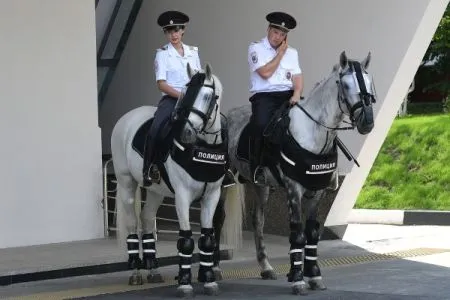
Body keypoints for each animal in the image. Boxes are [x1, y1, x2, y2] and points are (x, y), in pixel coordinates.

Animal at [110, 63, 243, 298]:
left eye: (208, 96)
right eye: (186, 92)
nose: (187, 132)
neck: (203, 145)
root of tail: (127, 118)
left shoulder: (213, 195)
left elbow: (207, 237)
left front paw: (208, 279)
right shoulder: (182, 196)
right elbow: (187, 240)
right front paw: (185, 283)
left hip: (155, 191)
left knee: (147, 218)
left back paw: (153, 269)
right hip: (126, 184)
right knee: (132, 223)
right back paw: (135, 271)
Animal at [221, 52, 376, 296]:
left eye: (369, 83)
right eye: (346, 84)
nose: (367, 122)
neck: (313, 133)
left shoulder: (317, 192)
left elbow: (312, 234)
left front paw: (314, 276)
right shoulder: (294, 190)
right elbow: (297, 233)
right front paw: (297, 279)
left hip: (261, 186)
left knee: (258, 220)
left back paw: (265, 266)